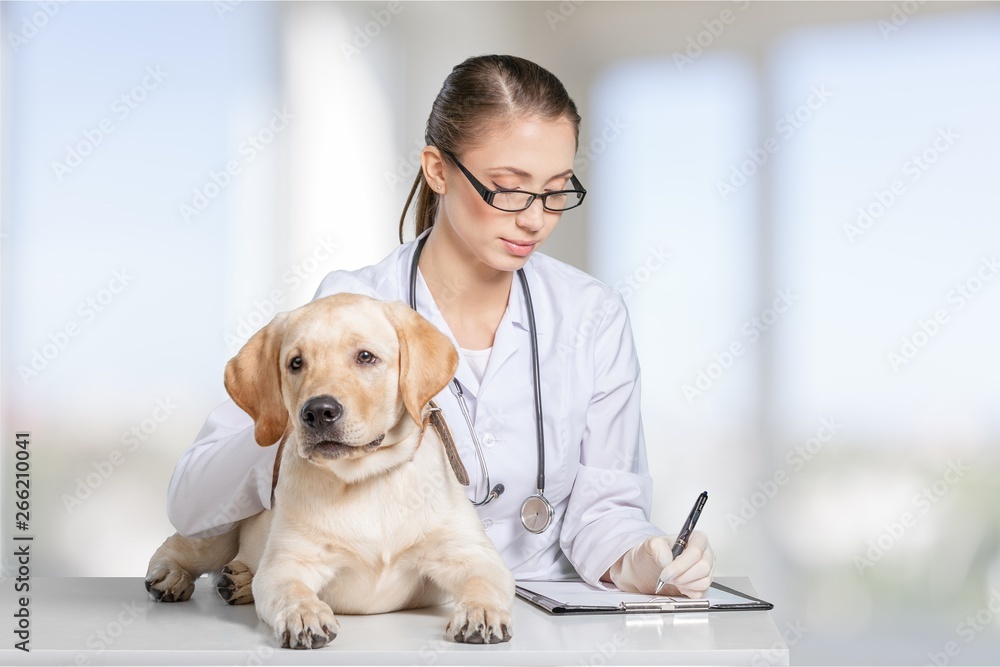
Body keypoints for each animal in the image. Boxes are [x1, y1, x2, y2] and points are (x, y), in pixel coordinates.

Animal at [146, 294, 516, 648]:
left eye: (365, 357)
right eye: (296, 363)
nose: (318, 411)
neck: (367, 478)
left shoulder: (472, 555)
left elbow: (484, 582)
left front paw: (482, 611)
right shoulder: (288, 562)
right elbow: (291, 590)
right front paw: (304, 614)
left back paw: (239, 580)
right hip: (219, 519)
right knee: (178, 545)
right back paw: (171, 576)